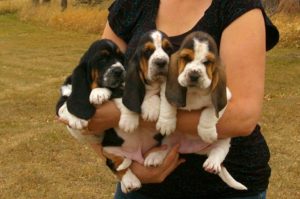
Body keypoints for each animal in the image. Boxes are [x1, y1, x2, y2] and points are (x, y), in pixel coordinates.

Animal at [151, 31, 247, 190]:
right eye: (186, 58)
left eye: (207, 62)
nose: (194, 75)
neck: (194, 91)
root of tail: (193, 149)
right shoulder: (166, 89)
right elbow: (168, 104)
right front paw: (166, 123)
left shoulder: (226, 98)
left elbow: (209, 112)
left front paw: (206, 132)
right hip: (169, 140)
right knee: (165, 149)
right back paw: (154, 157)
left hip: (224, 140)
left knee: (218, 151)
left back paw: (212, 164)